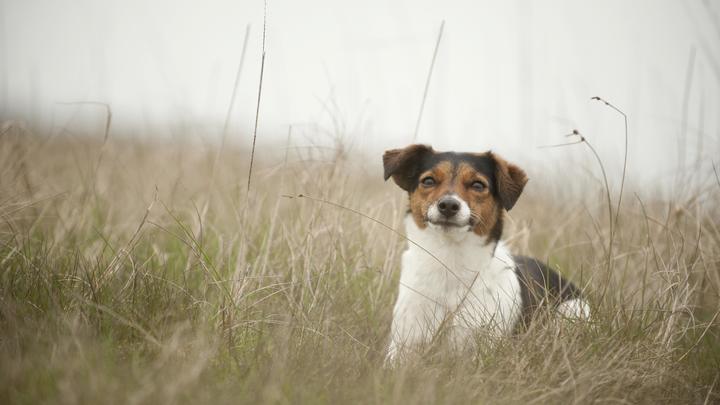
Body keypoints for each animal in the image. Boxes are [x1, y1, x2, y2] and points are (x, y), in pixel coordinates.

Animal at [386, 144, 588, 360]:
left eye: (478, 185)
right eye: (428, 181)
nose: (448, 205)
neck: (449, 259)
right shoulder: (403, 346)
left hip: (571, 310)